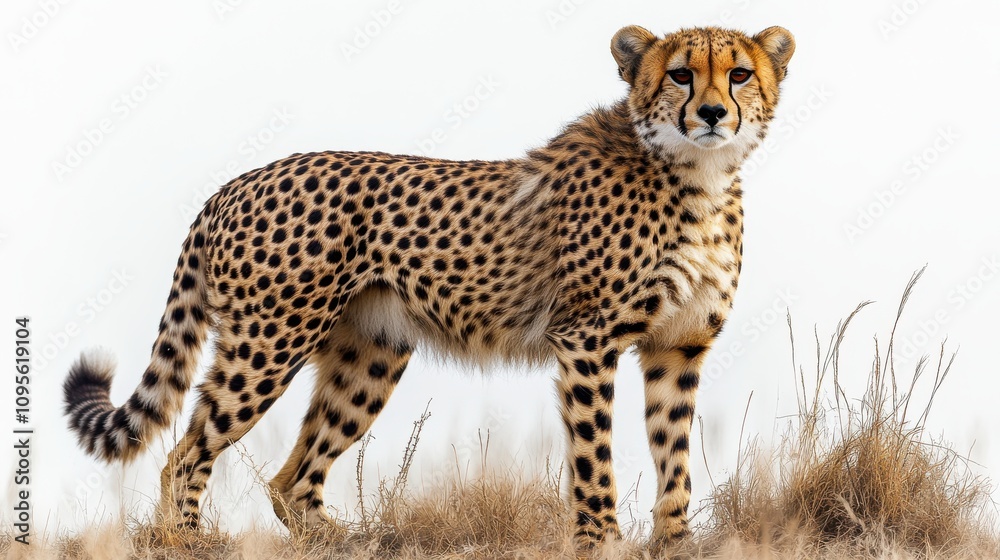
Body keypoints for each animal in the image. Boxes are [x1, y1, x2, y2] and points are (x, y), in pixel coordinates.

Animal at [64, 25, 796, 548]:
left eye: (738, 73)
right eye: (680, 74)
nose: (711, 113)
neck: (697, 175)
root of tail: (237, 182)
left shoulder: (679, 348)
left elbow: (674, 452)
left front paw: (675, 541)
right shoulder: (586, 342)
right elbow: (594, 456)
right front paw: (602, 542)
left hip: (371, 353)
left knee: (290, 480)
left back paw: (349, 541)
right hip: (268, 344)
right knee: (185, 454)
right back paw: (189, 539)